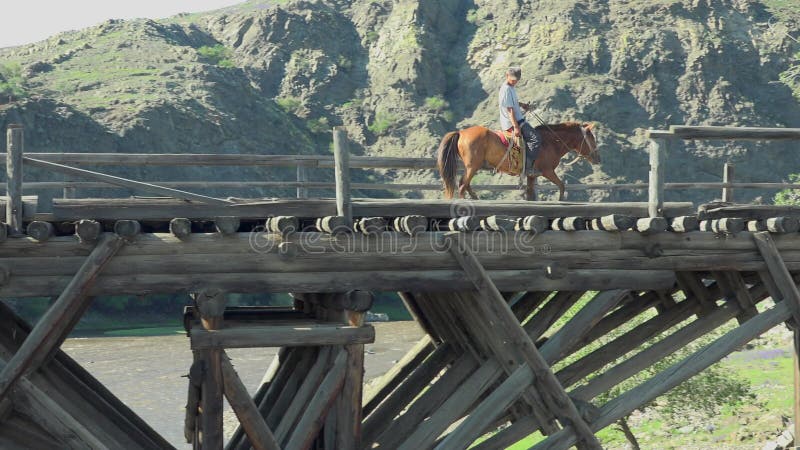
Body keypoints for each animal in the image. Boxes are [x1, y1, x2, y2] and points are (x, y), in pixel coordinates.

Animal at [438, 122, 600, 201]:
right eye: (591, 138)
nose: (598, 158)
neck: (550, 142)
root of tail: (461, 132)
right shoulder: (547, 171)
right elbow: (561, 186)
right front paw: (561, 200)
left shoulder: (532, 175)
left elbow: (530, 193)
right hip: (472, 166)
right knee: (462, 185)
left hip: (473, 167)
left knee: (465, 184)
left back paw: (475, 197)